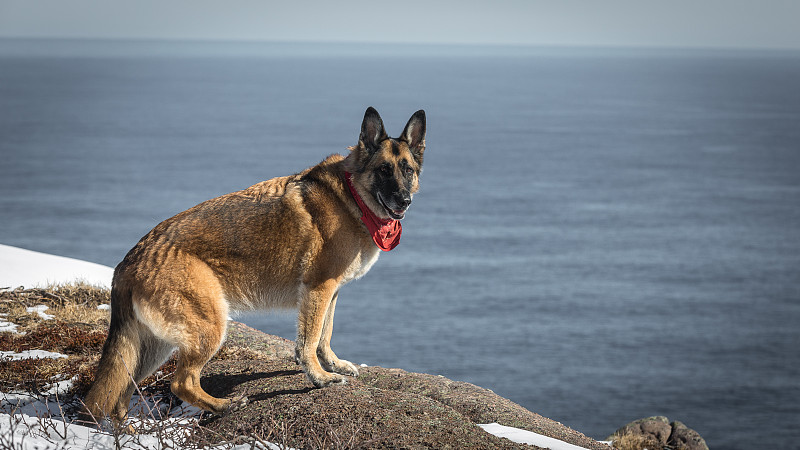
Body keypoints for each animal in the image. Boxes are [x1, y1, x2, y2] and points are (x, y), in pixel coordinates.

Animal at [83, 106, 424, 422]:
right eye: (384, 170)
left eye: (407, 170)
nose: (404, 201)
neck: (351, 195)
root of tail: (130, 261)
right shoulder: (319, 288)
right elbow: (310, 339)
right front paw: (319, 377)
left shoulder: (331, 291)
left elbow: (325, 334)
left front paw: (332, 364)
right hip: (210, 327)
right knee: (180, 383)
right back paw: (225, 405)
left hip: (153, 347)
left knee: (121, 397)